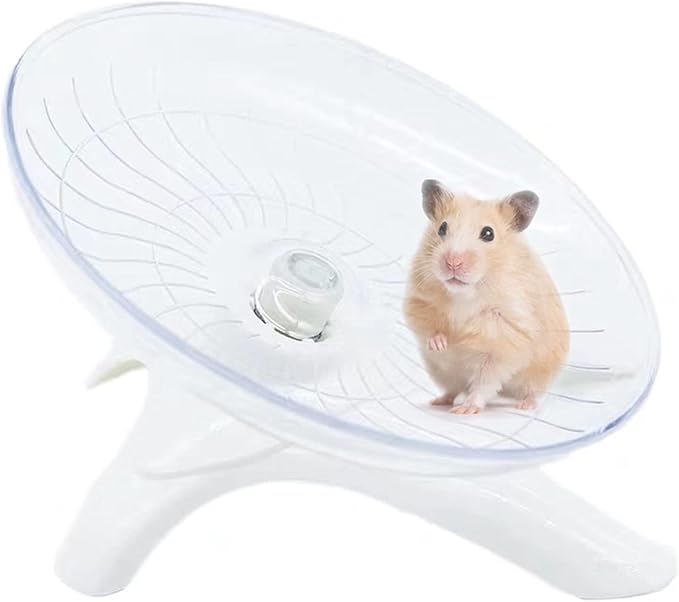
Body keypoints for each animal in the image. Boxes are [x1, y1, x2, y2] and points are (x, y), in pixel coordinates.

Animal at [403, 179, 569, 414]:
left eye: (488, 233)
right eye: (442, 228)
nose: (453, 262)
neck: (464, 293)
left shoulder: (506, 335)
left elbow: (485, 376)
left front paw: (466, 338)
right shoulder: (419, 300)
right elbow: (429, 326)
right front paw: (443, 343)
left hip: (538, 375)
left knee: (523, 391)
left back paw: (520, 406)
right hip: (442, 372)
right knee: (453, 389)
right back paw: (438, 401)